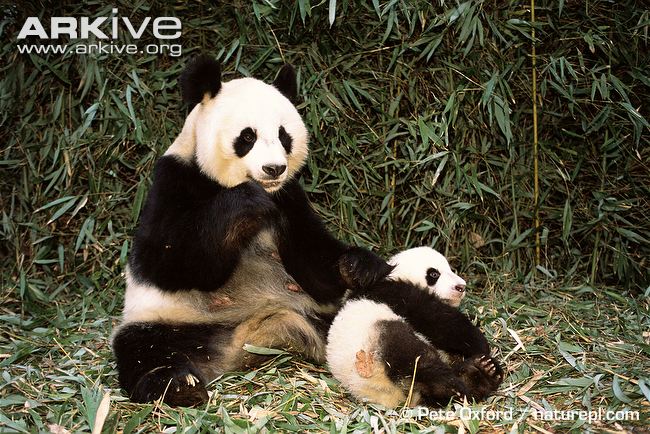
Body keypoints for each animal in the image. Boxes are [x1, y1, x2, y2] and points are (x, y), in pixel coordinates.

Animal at [111, 55, 388, 407]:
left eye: (284, 136)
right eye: (247, 137)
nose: (274, 168)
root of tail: (257, 334)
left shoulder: (290, 198)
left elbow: (315, 264)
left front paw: (358, 266)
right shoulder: (173, 180)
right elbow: (167, 260)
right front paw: (246, 202)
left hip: (324, 316)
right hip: (176, 322)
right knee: (145, 349)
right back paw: (180, 385)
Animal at [327, 247, 503, 407]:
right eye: (434, 274)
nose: (461, 287)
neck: (399, 275)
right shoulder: (398, 294)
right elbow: (438, 320)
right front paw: (480, 343)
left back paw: (484, 371)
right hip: (382, 336)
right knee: (417, 358)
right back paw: (450, 384)